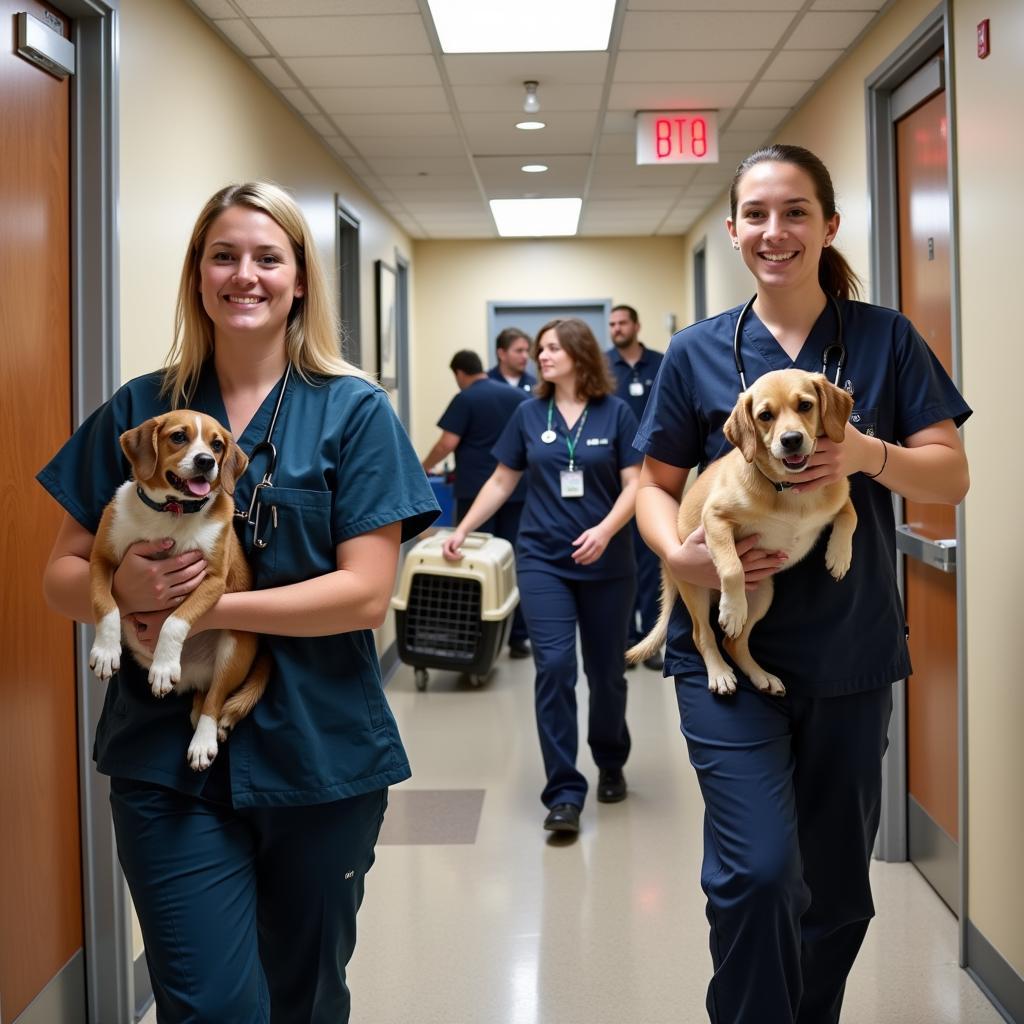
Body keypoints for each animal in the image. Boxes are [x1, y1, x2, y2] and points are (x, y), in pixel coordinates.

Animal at [630, 368, 856, 696]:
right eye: (765, 415)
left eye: (805, 405)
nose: (791, 440)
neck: (790, 490)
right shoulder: (715, 518)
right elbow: (732, 567)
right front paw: (733, 610)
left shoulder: (842, 494)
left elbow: (850, 517)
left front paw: (839, 556)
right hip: (694, 587)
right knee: (704, 635)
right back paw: (720, 672)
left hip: (763, 594)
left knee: (733, 642)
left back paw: (762, 676)